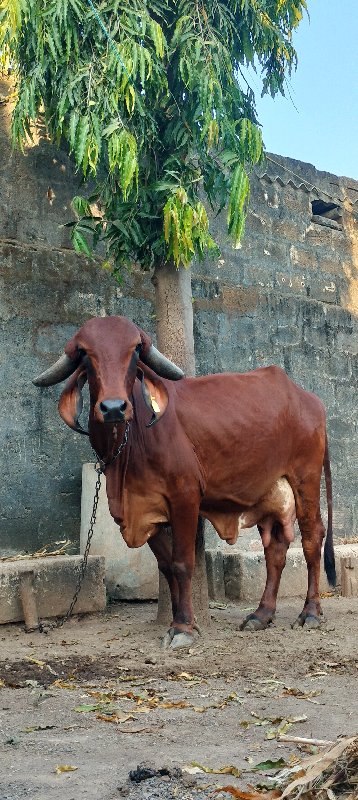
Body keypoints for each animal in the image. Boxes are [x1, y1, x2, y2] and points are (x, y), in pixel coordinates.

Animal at [33, 316, 336, 648]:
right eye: (85, 354)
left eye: (135, 350)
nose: (113, 407)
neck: (129, 445)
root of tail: (310, 399)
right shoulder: (145, 509)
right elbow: (166, 566)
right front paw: (183, 619)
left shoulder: (185, 498)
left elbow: (182, 564)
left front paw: (182, 628)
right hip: (269, 492)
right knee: (276, 549)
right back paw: (261, 614)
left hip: (306, 479)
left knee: (312, 539)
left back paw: (310, 613)